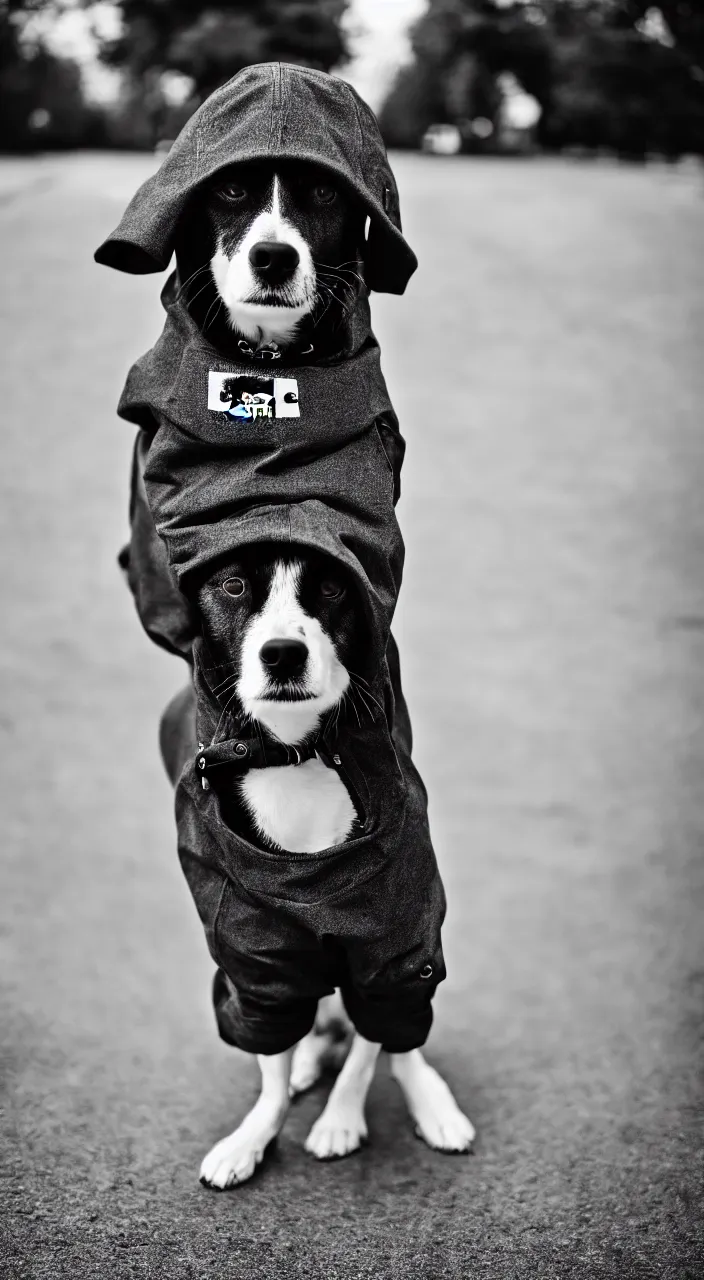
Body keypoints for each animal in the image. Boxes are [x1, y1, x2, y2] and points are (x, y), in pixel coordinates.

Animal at [160, 542, 478, 1187]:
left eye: (333, 590)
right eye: (233, 586)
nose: (283, 652)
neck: (292, 753)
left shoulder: (385, 960)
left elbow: (366, 1054)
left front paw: (339, 1122)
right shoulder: (257, 967)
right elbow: (271, 1068)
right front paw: (251, 1138)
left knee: (400, 1044)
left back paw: (432, 1104)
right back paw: (309, 1058)